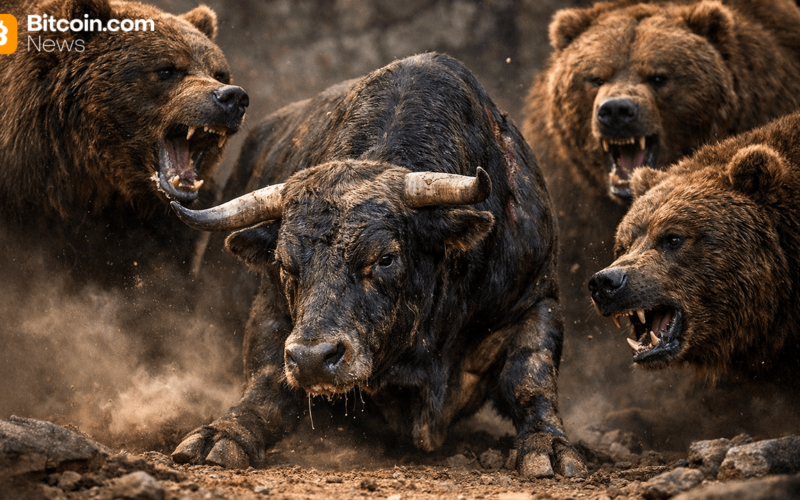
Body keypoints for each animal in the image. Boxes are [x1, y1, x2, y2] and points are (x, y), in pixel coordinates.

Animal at [170, 53, 585, 478]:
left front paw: (547, 444)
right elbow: (267, 383)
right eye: (284, 263)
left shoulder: (535, 299)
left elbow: (530, 378)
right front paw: (226, 434)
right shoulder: (272, 310)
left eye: (385, 258)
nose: (313, 360)